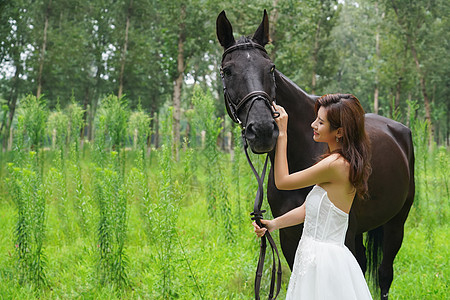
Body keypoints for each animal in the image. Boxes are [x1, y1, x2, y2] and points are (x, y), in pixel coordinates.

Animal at [217, 9, 414, 300]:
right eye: (228, 71)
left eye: (271, 68)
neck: (302, 155)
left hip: (396, 223)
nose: (263, 130)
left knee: (384, 274)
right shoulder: (289, 235)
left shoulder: (345, 234)